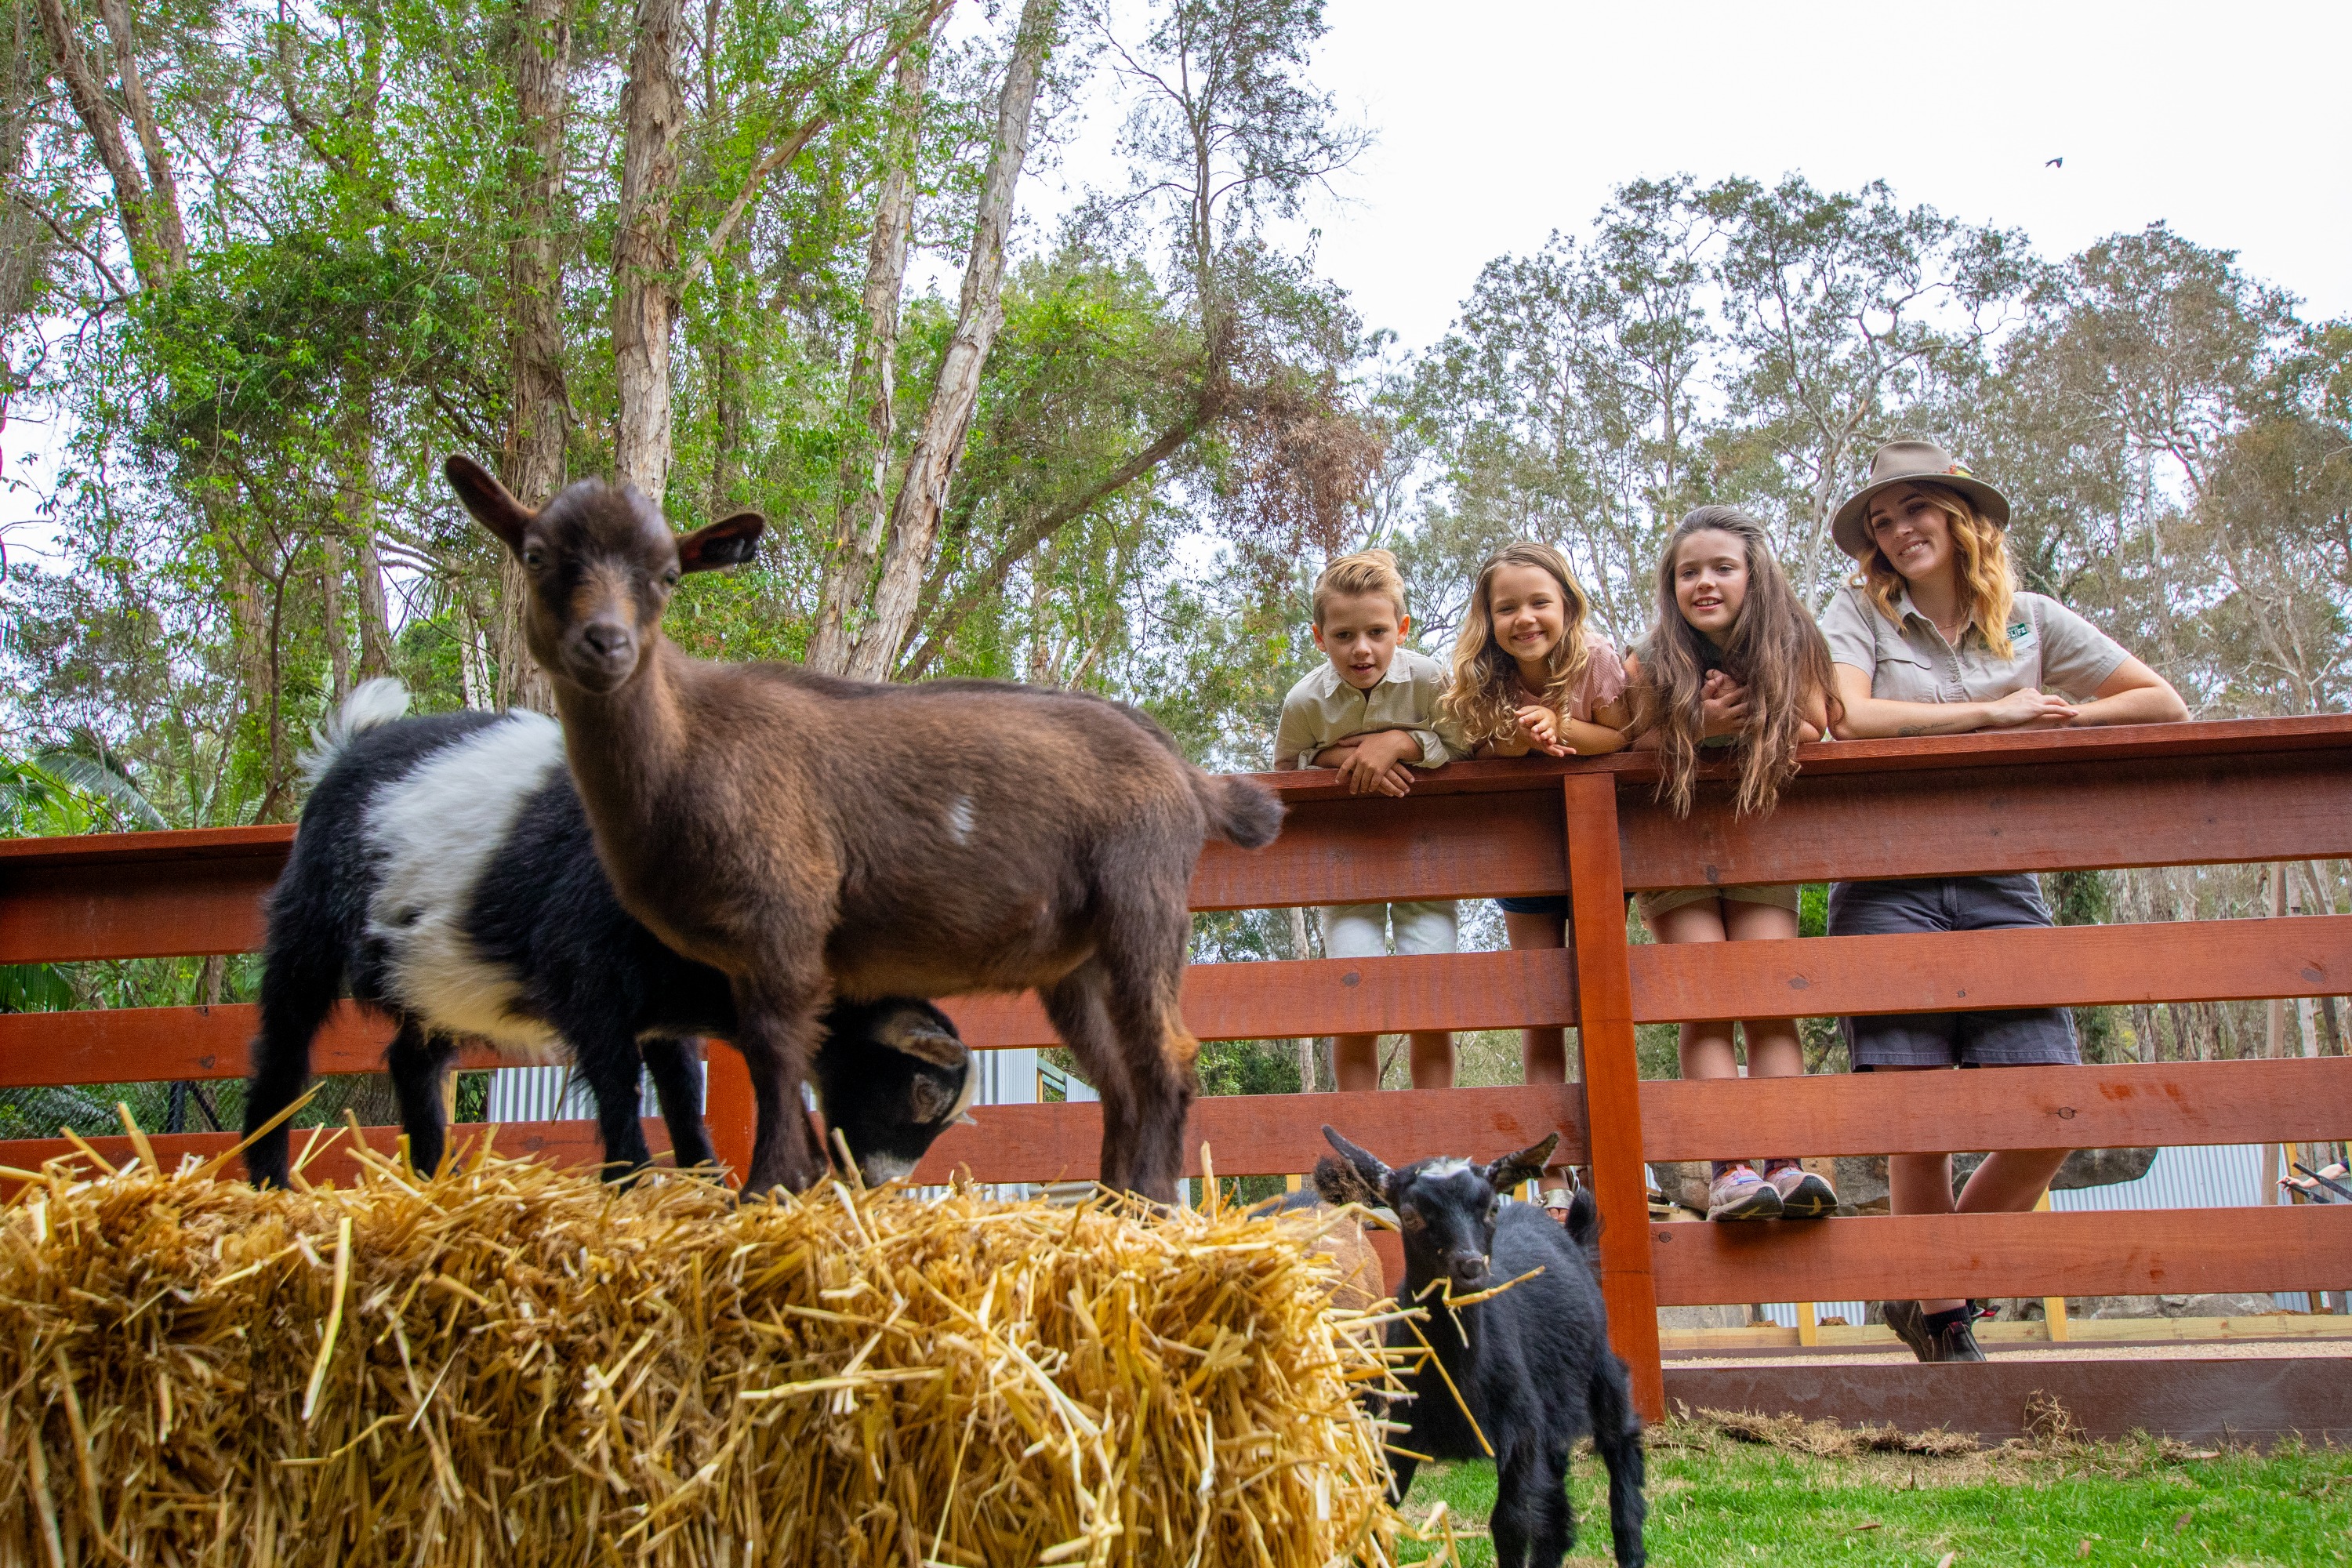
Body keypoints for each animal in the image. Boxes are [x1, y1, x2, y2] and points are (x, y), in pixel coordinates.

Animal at [238, 681, 974, 1189]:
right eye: (919, 1095)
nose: (878, 1184)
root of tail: (351, 745)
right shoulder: (587, 979)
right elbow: (620, 1087)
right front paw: (633, 1184)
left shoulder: (662, 1011)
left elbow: (682, 1093)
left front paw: (704, 1182)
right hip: (307, 927)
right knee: (284, 1046)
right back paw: (270, 1176)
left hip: (434, 972)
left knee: (411, 1060)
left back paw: (432, 1179)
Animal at [445, 453, 1289, 1203]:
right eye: (535, 554)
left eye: (668, 576)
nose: (606, 643)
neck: (690, 744)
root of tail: (1185, 774)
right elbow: (773, 1060)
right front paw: (791, 1181)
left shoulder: (785, 917)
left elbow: (775, 1053)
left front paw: (770, 1188)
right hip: (1074, 959)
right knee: (1117, 1074)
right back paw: (1114, 1204)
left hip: (1142, 898)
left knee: (1167, 1053)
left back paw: (1156, 1203)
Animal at [1317, 1128, 1646, 1568]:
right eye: (1411, 1215)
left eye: (1490, 1207)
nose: (1471, 1266)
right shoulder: (1402, 1431)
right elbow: (1375, 1510)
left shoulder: (1520, 1431)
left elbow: (1510, 1523)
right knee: (1554, 1494)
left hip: (1600, 1374)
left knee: (1619, 1446)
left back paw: (1630, 1547)